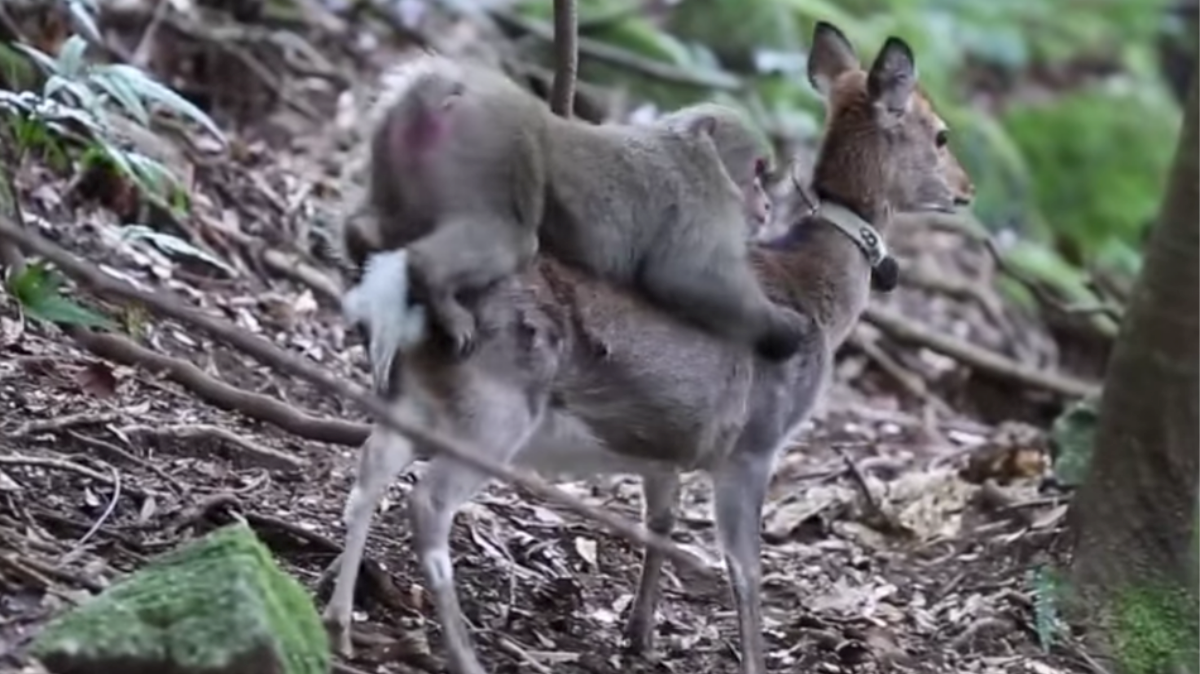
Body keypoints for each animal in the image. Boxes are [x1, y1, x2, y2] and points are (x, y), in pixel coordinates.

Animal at [321, 19, 974, 671]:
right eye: (941, 134)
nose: (966, 191)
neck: (819, 294)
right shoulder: (753, 443)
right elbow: (746, 571)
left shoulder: (670, 448)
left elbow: (661, 518)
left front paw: (639, 634)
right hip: (495, 402)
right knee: (428, 503)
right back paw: (460, 653)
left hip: (417, 388)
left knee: (371, 466)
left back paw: (338, 622)